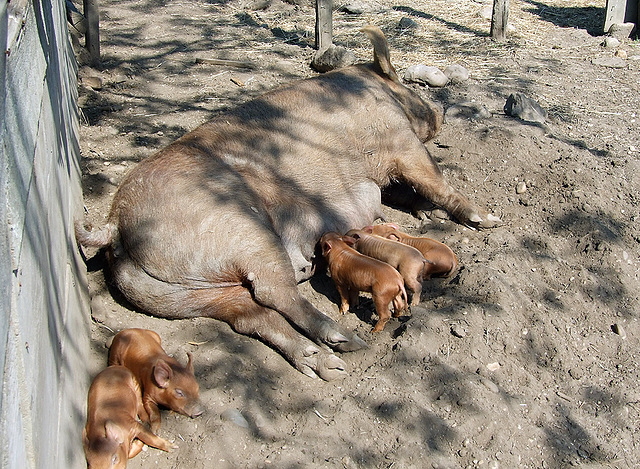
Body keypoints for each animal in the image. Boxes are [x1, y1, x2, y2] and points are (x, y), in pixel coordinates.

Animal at [77, 25, 500, 380]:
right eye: (407, 85)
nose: (440, 111)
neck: (377, 89)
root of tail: (114, 224)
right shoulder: (400, 141)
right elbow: (434, 179)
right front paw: (489, 219)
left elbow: (403, 191)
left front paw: (427, 212)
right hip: (244, 229)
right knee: (275, 292)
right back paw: (346, 341)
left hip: (181, 296)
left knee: (250, 316)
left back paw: (326, 365)